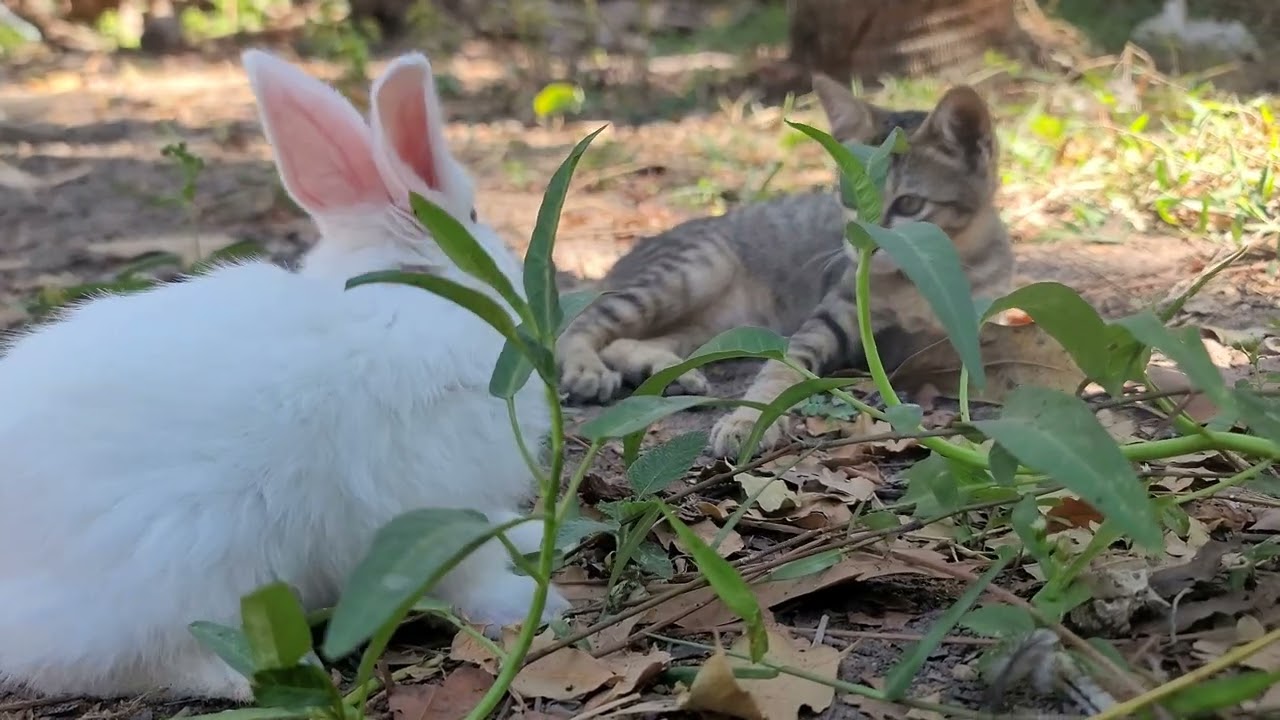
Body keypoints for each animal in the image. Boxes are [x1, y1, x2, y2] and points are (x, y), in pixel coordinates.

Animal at [0, 49, 570, 702]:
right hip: (174, 570)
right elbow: (466, 573)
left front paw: (526, 540)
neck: (410, 296)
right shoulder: (432, 505)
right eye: (473, 213)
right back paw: (245, 676)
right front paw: (531, 601)